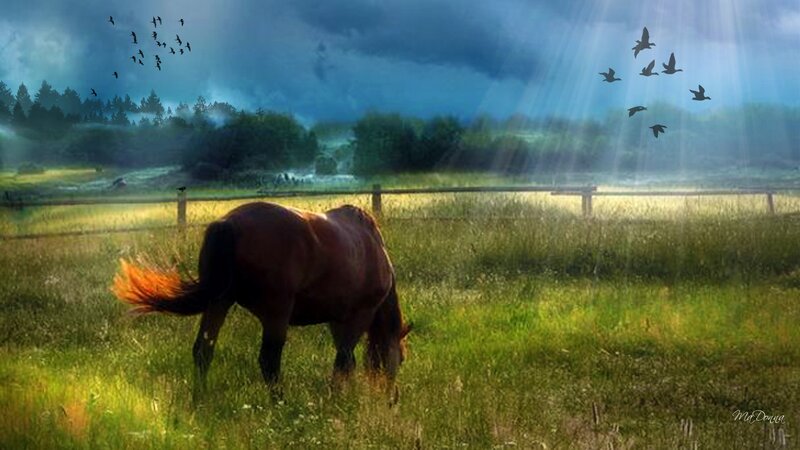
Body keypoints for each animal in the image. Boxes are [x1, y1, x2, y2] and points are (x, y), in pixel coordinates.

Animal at [112, 202, 411, 391]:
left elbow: (346, 360)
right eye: (401, 359)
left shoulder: (337, 321)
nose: (391, 399)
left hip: (219, 301)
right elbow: (344, 362)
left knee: (203, 351)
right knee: (269, 362)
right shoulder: (360, 315)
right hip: (276, 312)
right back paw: (280, 405)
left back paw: (200, 401)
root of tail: (229, 222)